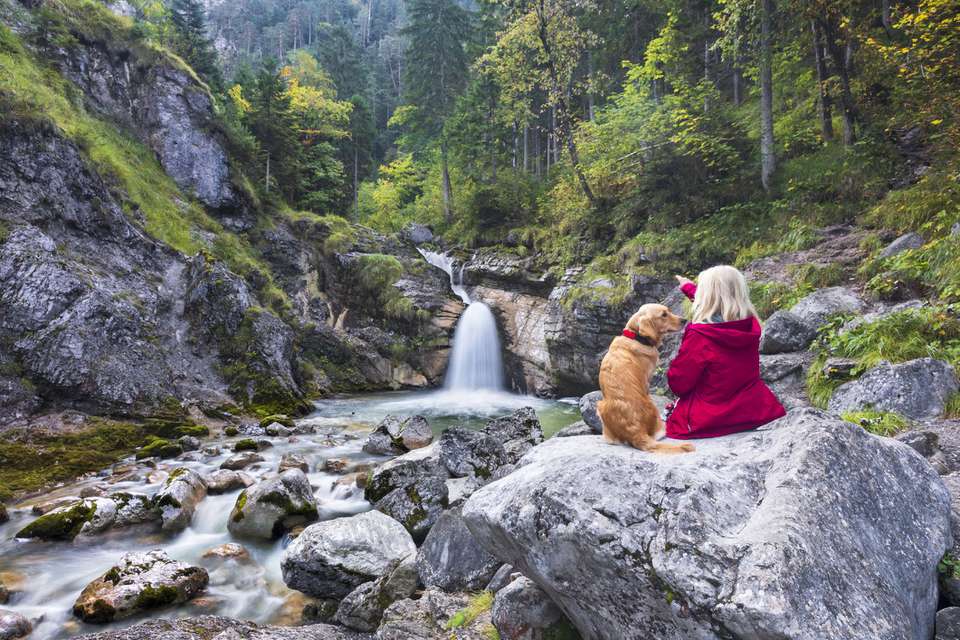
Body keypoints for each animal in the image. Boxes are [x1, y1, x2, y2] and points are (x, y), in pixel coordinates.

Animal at [596, 302, 692, 452]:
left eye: (668, 311)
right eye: (663, 315)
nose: (684, 320)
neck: (636, 336)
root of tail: (636, 432)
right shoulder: (647, 381)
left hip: (600, 406)